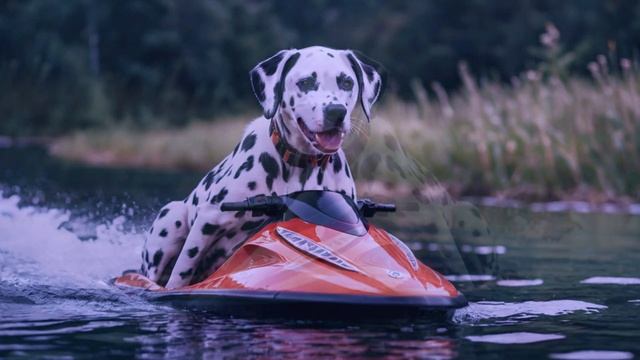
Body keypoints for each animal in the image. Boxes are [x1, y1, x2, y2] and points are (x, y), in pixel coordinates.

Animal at [139, 45, 380, 286]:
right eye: (305, 82)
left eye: (347, 82)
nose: (336, 112)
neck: (298, 165)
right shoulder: (208, 220)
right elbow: (181, 273)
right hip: (171, 217)